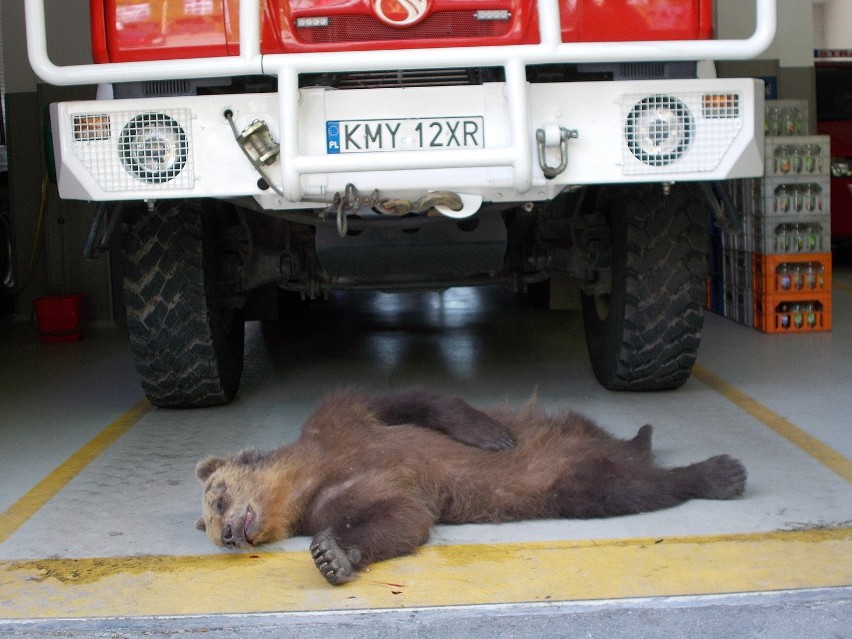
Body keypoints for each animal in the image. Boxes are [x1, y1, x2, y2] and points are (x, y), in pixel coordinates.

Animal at [195, 390, 744, 584]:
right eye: (214, 529)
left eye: (218, 498)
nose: (229, 534)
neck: (306, 478)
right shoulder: (337, 499)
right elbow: (401, 517)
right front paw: (334, 555)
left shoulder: (343, 421)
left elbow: (416, 401)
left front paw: (488, 435)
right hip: (566, 480)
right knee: (617, 488)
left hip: (566, 434)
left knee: (629, 483)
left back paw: (715, 469)